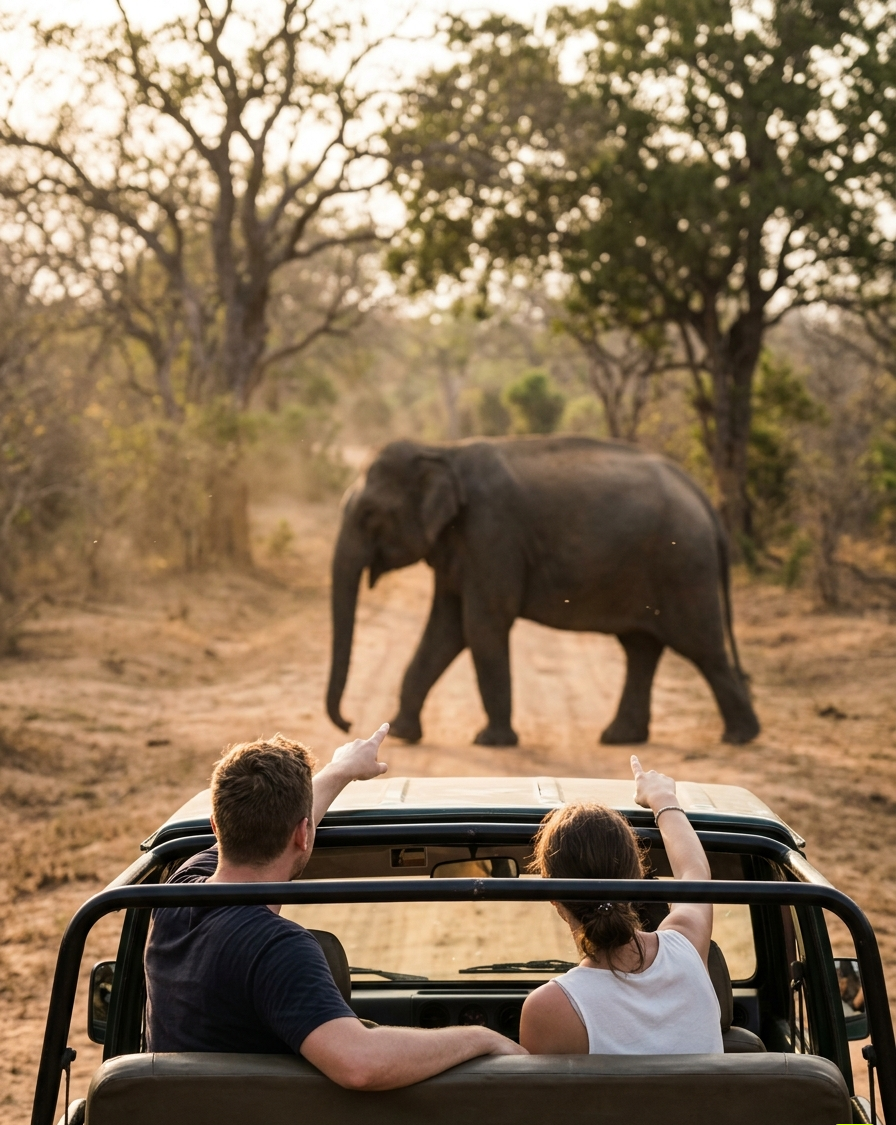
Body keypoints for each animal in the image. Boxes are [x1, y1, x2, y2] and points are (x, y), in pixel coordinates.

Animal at [326, 436, 760, 747]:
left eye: (369, 515)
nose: (348, 723)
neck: (441, 450)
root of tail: (703, 499)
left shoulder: (492, 532)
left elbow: (481, 624)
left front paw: (490, 741)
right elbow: (445, 629)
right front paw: (403, 733)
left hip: (684, 564)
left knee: (701, 647)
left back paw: (739, 737)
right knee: (641, 647)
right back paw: (620, 738)